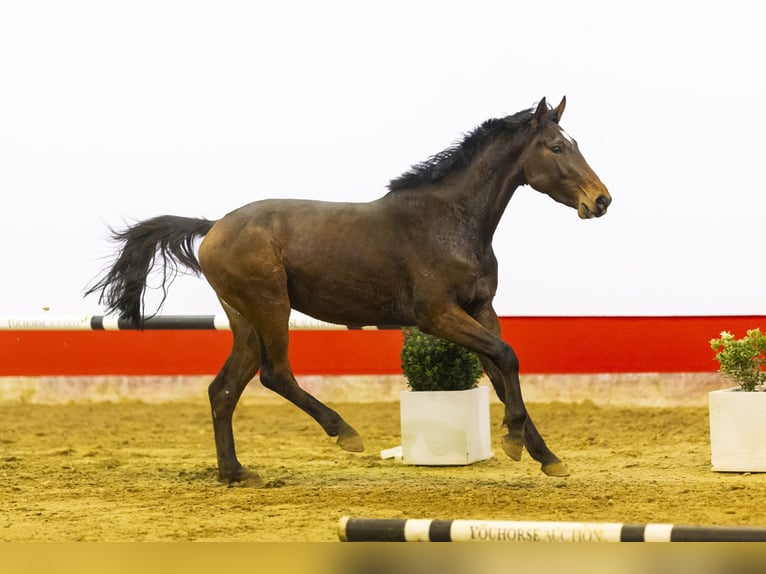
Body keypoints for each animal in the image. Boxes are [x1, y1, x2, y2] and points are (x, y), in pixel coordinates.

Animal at [87, 97, 612, 484]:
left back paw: (235, 473)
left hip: (243, 319)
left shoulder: (481, 309)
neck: (451, 223)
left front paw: (545, 455)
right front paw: (514, 442)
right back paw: (345, 433)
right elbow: (506, 357)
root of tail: (213, 226)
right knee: (275, 374)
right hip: (271, 306)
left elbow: (503, 373)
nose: (601, 200)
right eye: (556, 147)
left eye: (574, 143)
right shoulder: (438, 315)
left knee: (224, 389)